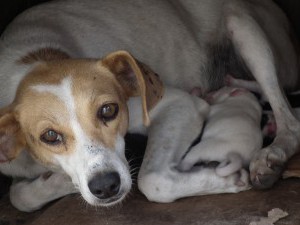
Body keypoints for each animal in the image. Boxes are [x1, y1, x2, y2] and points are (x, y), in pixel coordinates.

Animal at [0, 0, 298, 211]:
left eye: (109, 110)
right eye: (49, 136)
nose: (106, 186)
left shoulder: (180, 104)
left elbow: (152, 180)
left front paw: (227, 180)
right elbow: (19, 197)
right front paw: (60, 182)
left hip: (245, 29)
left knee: (289, 119)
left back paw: (272, 154)